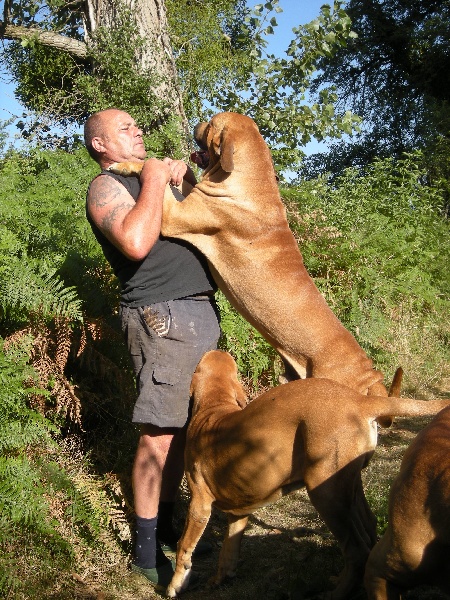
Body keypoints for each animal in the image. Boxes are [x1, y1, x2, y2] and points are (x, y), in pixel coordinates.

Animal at [108, 112, 390, 406]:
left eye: (211, 124)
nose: (197, 123)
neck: (251, 178)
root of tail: (370, 379)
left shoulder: (174, 215)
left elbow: (152, 171)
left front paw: (129, 164)